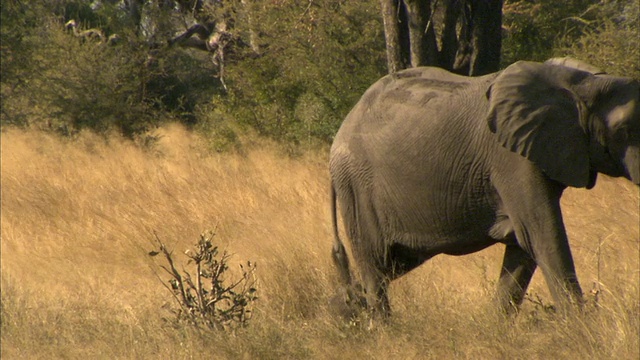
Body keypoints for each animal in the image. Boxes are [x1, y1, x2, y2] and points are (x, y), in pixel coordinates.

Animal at [330, 57, 640, 318]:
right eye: (623, 131)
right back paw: (380, 327)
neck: (582, 83)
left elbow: (522, 245)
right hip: (357, 188)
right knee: (375, 265)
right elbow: (541, 235)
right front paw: (582, 330)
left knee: (390, 264)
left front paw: (498, 326)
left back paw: (345, 310)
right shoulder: (512, 160)